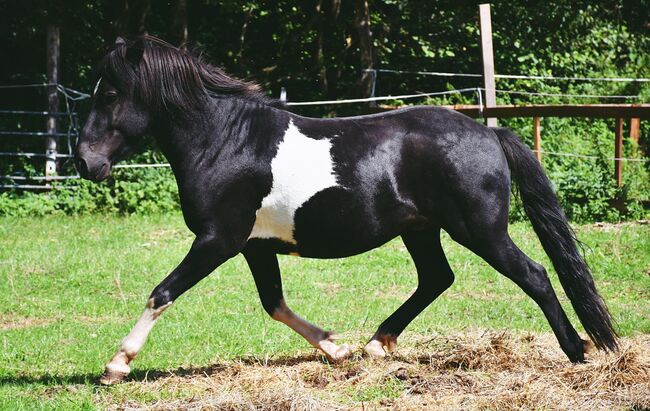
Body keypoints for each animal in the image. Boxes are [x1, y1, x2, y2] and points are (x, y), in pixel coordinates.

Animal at [76, 36, 616, 386]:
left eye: (111, 93)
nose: (84, 162)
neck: (226, 142)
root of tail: (489, 133)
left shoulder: (218, 240)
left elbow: (162, 292)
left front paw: (115, 367)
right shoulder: (254, 247)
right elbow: (274, 303)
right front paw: (338, 349)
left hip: (480, 230)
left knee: (535, 275)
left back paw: (578, 351)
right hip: (422, 230)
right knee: (436, 279)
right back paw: (377, 344)